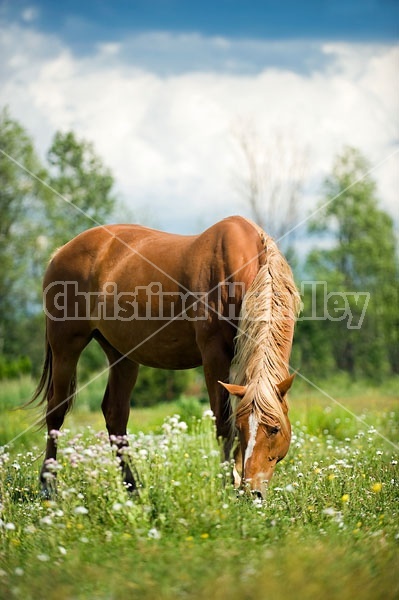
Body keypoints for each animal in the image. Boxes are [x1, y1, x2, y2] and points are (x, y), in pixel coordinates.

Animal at [32, 216, 300, 496]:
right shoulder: (214, 355)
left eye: (275, 429)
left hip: (121, 355)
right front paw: (226, 484)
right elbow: (223, 422)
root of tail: (60, 252)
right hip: (66, 347)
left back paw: (131, 486)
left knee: (115, 414)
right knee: (56, 409)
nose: (253, 491)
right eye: (243, 427)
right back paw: (48, 484)